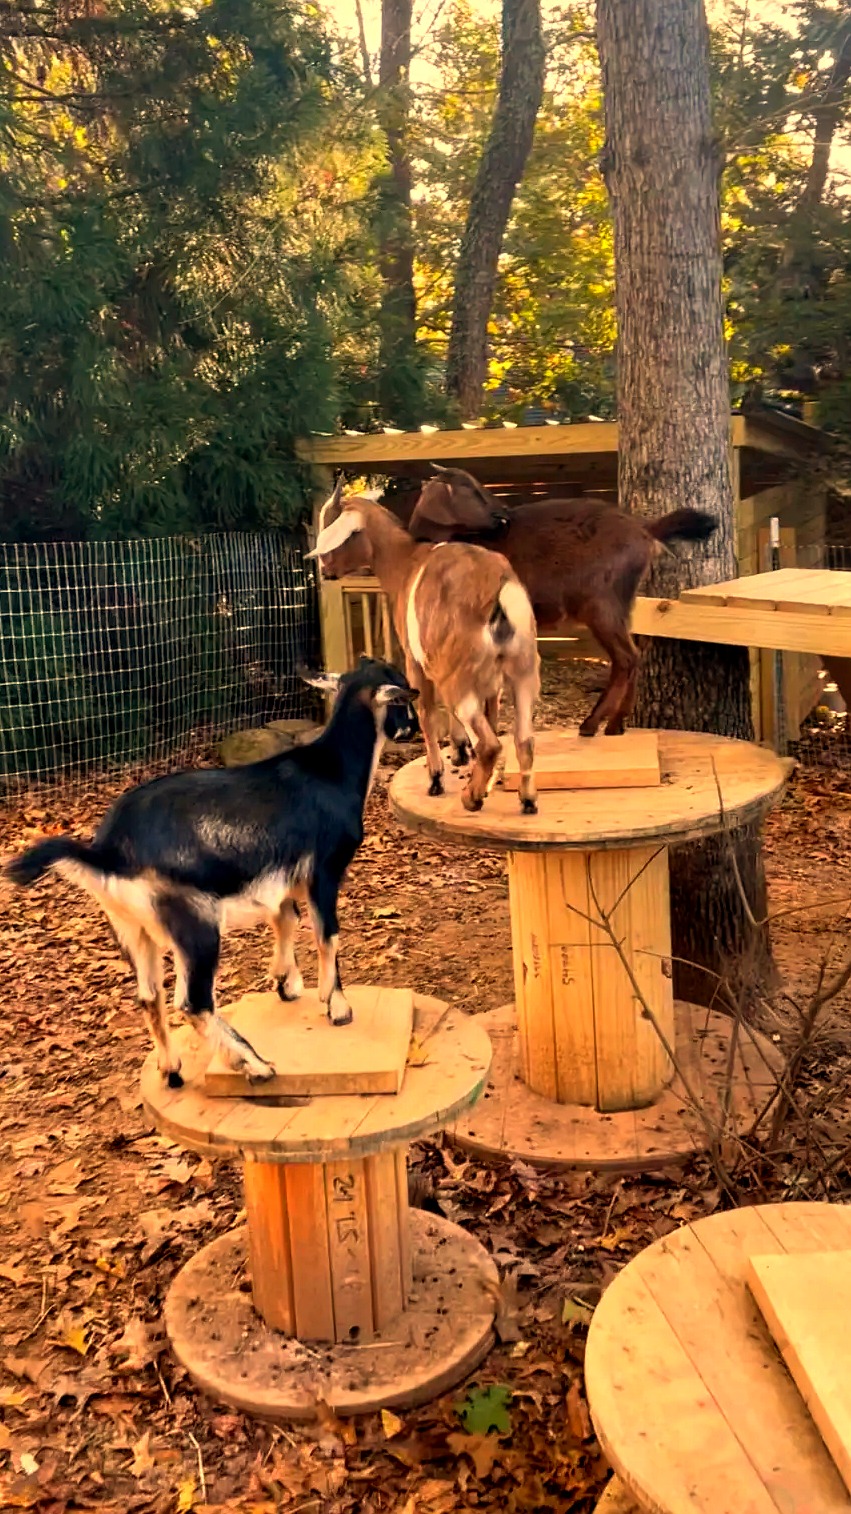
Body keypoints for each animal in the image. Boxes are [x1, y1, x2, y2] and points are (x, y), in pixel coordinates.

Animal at [3, 658, 418, 1086]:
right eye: (403, 696)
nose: (415, 728)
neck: (332, 771)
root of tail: (109, 850)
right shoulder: (325, 869)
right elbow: (327, 935)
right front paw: (337, 1007)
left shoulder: (280, 878)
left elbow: (285, 919)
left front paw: (286, 983)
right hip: (194, 923)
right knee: (193, 1001)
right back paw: (254, 1064)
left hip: (130, 927)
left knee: (148, 995)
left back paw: (171, 1069)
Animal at [309, 479, 540, 814]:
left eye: (330, 524)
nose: (326, 570)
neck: (405, 562)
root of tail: (498, 588)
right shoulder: (488, 681)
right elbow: (491, 717)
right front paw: (463, 755)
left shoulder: (415, 661)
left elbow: (426, 713)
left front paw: (436, 779)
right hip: (521, 668)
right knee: (523, 737)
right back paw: (527, 799)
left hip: (458, 676)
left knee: (489, 743)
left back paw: (471, 798)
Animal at [407, 464, 719, 738]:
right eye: (468, 488)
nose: (504, 514)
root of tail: (644, 529)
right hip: (621, 602)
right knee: (633, 654)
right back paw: (615, 725)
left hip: (600, 603)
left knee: (626, 658)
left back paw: (591, 724)